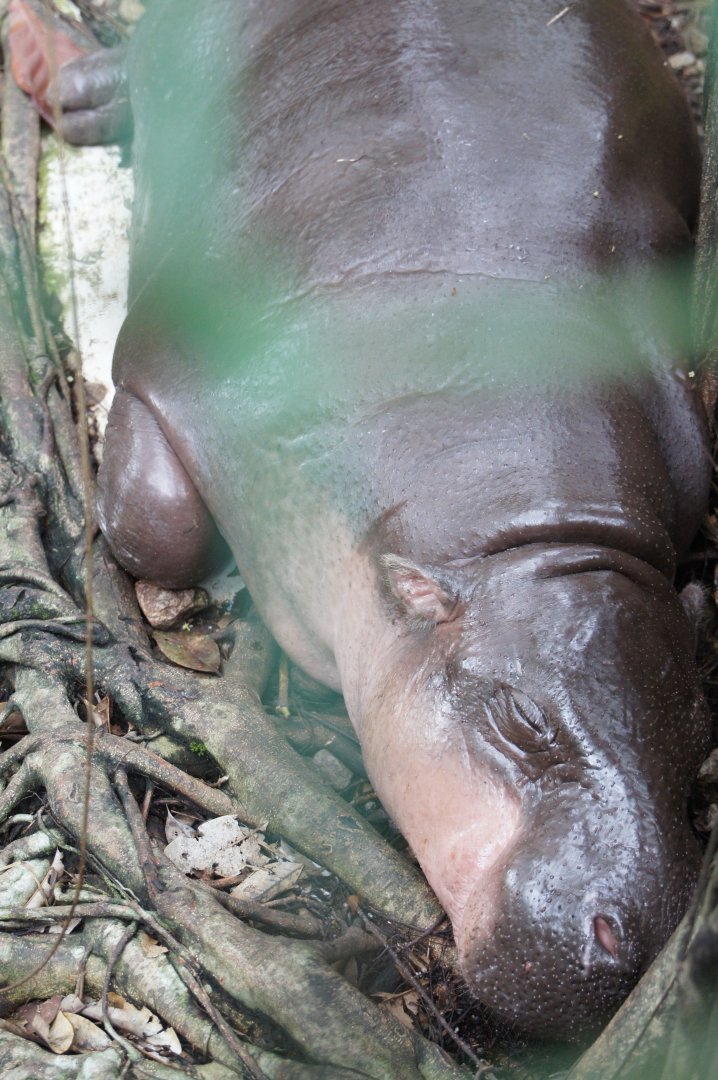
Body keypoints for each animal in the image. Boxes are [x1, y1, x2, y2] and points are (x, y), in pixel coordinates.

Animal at [56, 0, 712, 1039]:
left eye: (697, 758)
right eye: (522, 720)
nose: (633, 943)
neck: (526, 535)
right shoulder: (178, 365)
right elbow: (157, 526)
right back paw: (75, 92)